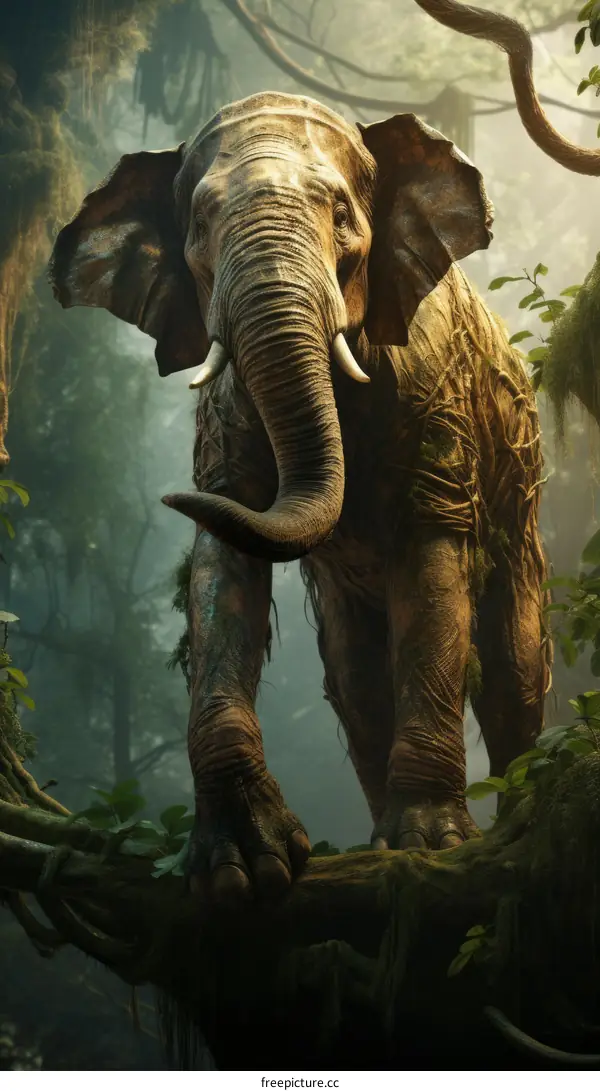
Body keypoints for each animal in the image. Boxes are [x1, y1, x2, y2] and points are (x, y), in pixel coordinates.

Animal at [49, 90, 552, 905]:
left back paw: (501, 828)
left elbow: (433, 561)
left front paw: (432, 845)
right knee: (353, 679)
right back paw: (375, 839)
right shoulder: (225, 409)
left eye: (343, 212)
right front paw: (243, 867)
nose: (167, 494)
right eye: (197, 225)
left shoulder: (435, 387)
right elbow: (224, 568)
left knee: (514, 664)